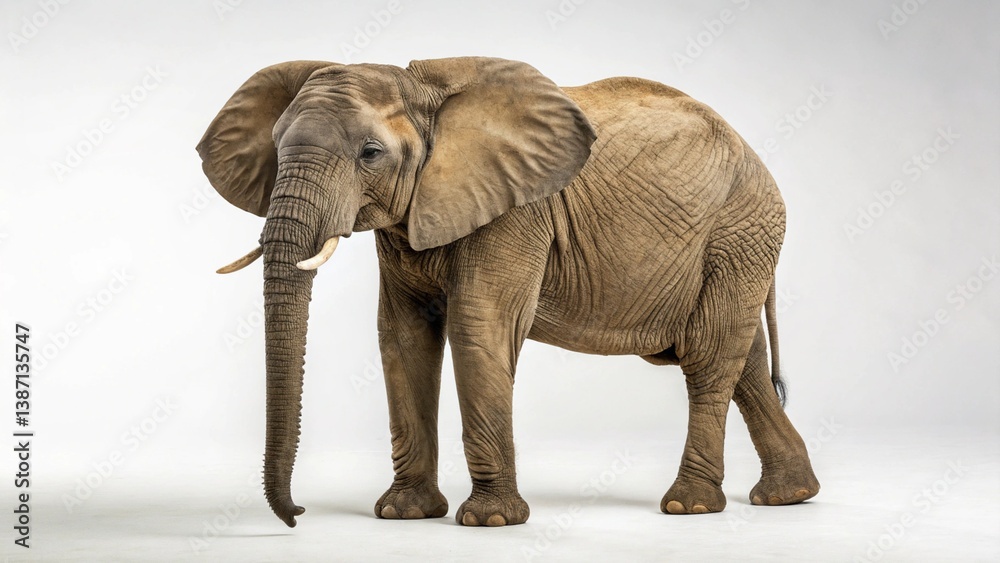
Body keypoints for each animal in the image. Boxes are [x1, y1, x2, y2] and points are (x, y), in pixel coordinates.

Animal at [196, 56, 819, 528]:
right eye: (276, 146)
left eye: (370, 154)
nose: (297, 514)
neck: (421, 88)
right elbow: (402, 337)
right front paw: (404, 514)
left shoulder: (516, 212)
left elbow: (480, 326)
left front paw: (489, 520)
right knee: (744, 364)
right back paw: (789, 497)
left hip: (740, 231)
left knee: (709, 357)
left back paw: (690, 506)